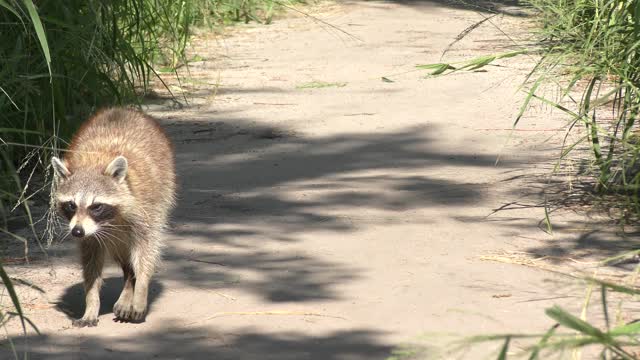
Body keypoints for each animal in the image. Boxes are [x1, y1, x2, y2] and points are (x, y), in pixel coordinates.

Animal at [51, 106, 176, 326]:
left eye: (96, 206)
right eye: (71, 205)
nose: (76, 232)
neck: (92, 163)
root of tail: (123, 109)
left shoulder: (145, 207)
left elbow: (146, 251)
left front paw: (141, 287)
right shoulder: (90, 235)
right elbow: (91, 265)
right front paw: (91, 302)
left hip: (163, 186)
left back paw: (132, 287)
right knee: (122, 256)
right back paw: (128, 283)